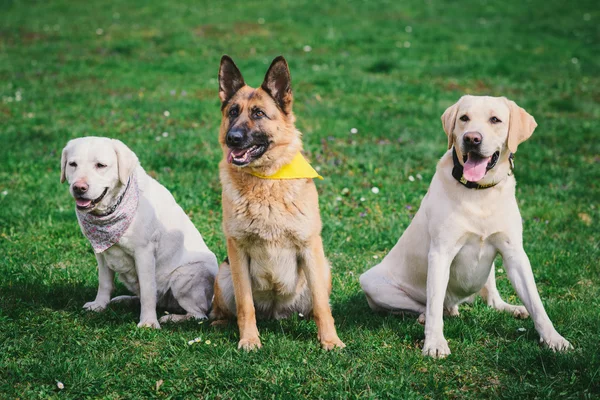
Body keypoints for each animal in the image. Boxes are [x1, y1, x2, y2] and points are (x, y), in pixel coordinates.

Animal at [211, 55, 344, 350]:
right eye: (233, 112)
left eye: (259, 114)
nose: (232, 138)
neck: (266, 182)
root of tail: (274, 312)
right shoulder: (237, 251)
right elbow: (245, 306)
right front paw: (249, 340)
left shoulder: (309, 246)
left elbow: (322, 306)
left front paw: (330, 340)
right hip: (224, 273)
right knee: (225, 309)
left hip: (323, 269)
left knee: (316, 305)